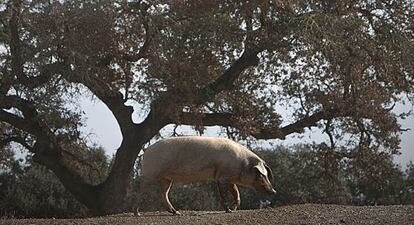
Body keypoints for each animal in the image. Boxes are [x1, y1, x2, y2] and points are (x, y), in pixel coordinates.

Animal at [137, 135, 276, 214]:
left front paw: (234, 209)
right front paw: (228, 211)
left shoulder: (229, 178)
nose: (273, 191)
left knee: (163, 194)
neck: (241, 164)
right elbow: (223, 194)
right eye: (260, 175)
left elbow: (236, 192)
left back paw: (177, 213)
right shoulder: (222, 177)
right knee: (140, 192)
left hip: (166, 179)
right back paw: (137, 213)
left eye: (266, 175)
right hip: (149, 174)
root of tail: (146, 150)